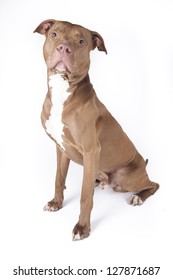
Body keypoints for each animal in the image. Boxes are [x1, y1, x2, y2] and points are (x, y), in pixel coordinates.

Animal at [34, 19, 159, 241]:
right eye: (54, 34)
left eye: (81, 41)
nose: (63, 48)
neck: (62, 90)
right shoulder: (61, 148)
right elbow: (59, 179)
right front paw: (56, 203)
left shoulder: (91, 151)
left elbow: (85, 197)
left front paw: (82, 228)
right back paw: (100, 181)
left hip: (127, 177)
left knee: (153, 184)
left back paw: (138, 197)